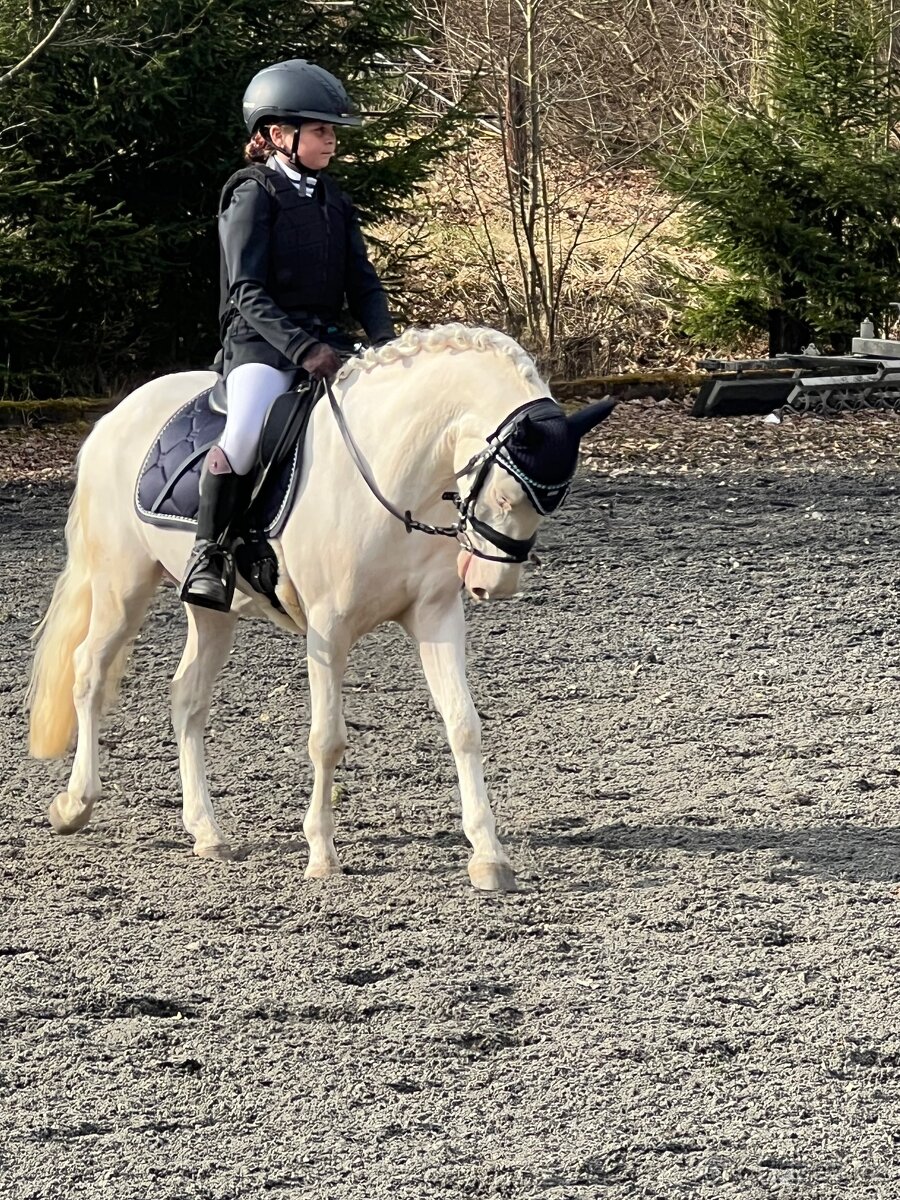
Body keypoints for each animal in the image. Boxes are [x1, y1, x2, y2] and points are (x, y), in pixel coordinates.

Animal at [26, 323, 613, 891]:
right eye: (507, 495)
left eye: (552, 504)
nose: (496, 585)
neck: (393, 470)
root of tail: (115, 417)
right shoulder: (329, 628)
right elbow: (327, 739)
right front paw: (322, 857)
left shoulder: (436, 615)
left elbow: (464, 725)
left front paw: (489, 858)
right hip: (121, 585)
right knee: (88, 673)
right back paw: (74, 805)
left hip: (212, 609)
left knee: (186, 698)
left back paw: (207, 832)